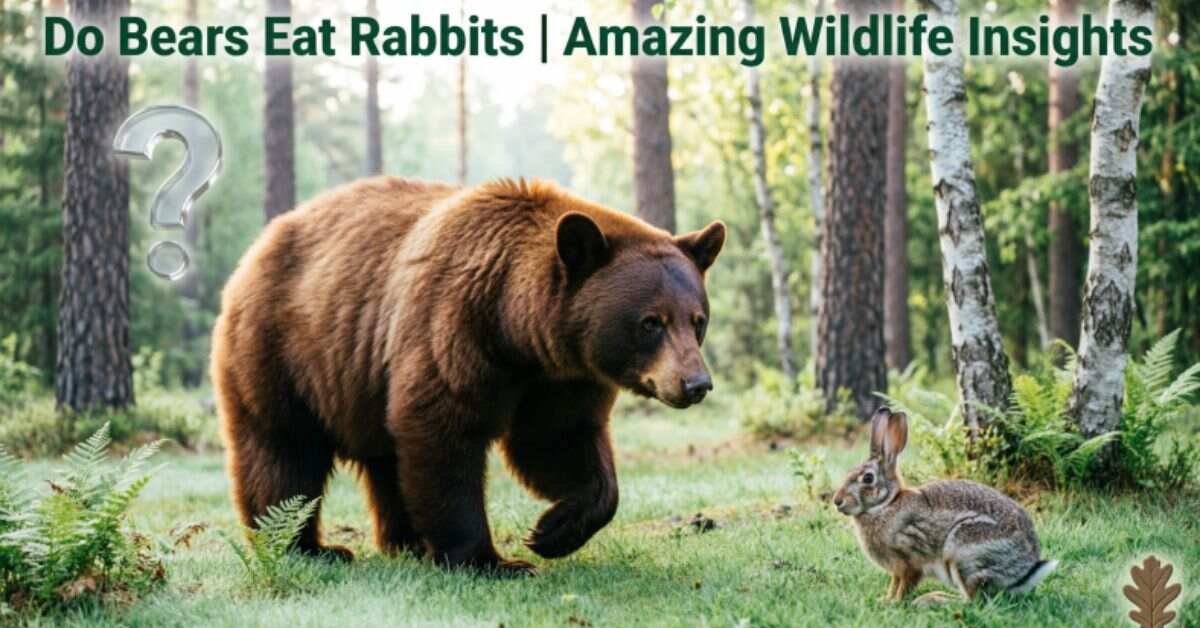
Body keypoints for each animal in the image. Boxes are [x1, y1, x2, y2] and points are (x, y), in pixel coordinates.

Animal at [211, 176, 725, 575]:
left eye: (697, 319)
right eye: (650, 322)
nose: (696, 384)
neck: (517, 327)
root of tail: (261, 242)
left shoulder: (562, 377)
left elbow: (558, 441)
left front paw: (553, 530)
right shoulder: (454, 324)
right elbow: (444, 433)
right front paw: (492, 560)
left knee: (386, 459)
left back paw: (407, 542)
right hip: (282, 350)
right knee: (283, 450)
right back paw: (305, 547)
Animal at [832, 407, 1057, 605]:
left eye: (868, 478)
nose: (837, 501)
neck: (885, 505)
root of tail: (1024, 570)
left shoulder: (910, 560)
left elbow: (905, 585)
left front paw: (895, 603)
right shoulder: (897, 570)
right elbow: (894, 584)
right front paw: (885, 600)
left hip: (964, 554)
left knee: (972, 601)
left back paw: (933, 600)